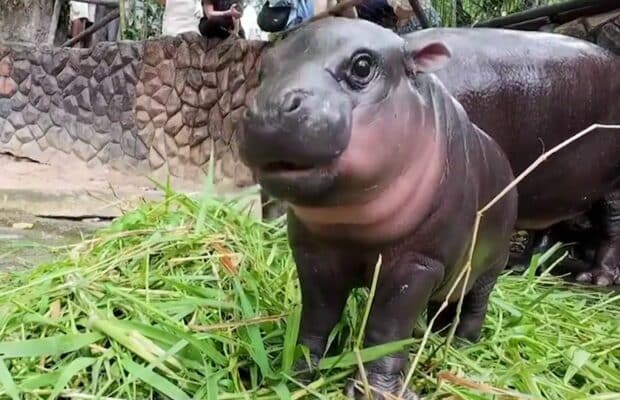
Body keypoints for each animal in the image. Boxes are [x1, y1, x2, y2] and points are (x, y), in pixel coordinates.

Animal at [240, 17, 516, 398]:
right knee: (443, 304)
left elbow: (387, 330)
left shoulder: (418, 264)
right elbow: (317, 317)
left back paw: (463, 347)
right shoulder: (313, 253)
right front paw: (298, 374)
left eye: (362, 66)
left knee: (475, 305)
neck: (351, 226)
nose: (267, 109)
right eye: (263, 70)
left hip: (492, 264)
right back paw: (432, 336)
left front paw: (376, 390)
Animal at [404, 26, 620, 286]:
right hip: (549, 184)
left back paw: (596, 278)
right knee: (544, 229)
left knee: (612, 227)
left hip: (611, 187)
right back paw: (522, 268)